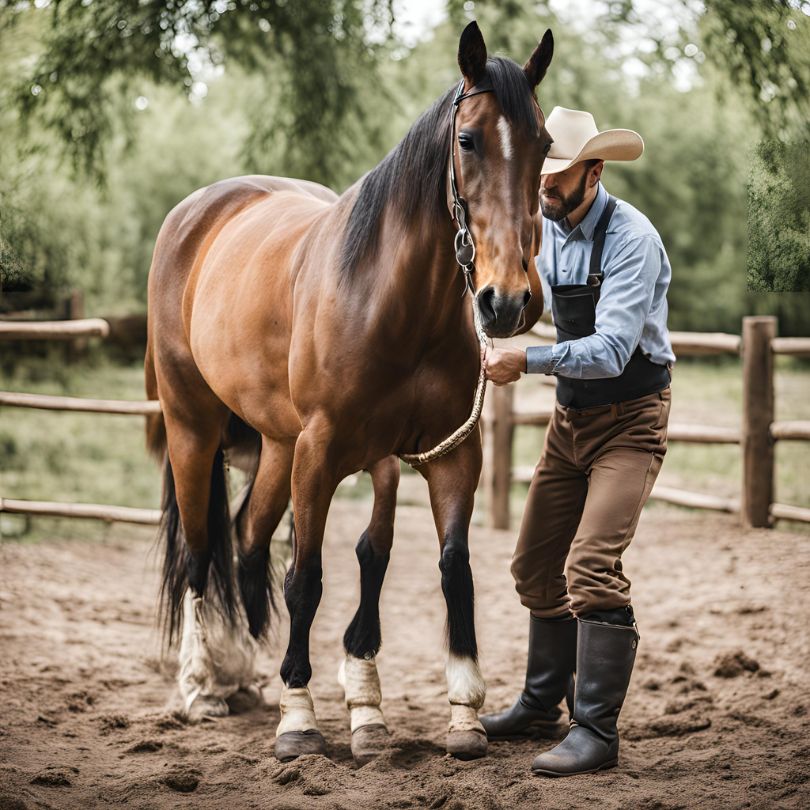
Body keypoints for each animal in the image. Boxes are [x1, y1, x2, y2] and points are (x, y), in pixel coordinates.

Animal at [144, 20, 548, 764]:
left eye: (543, 143)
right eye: (469, 140)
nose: (507, 301)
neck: (391, 297)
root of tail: (198, 212)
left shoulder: (445, 454)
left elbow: (438, 565)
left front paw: (452, 712)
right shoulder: (324, 451)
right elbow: (308, 578)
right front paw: (301, 720)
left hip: (277, 446)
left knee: (246, 543)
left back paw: (243, 674)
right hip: (195, 430)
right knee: (199, 553)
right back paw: (201, 686)